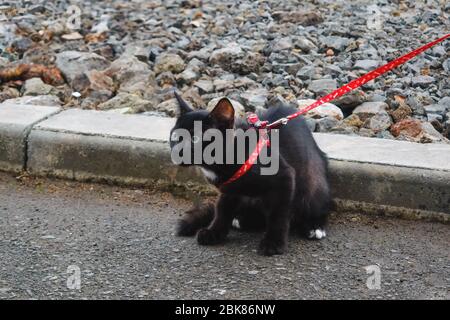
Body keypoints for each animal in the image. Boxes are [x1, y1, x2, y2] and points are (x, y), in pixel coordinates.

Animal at [169, 92, 330, 255]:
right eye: (175, 136)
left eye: (195, 139)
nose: (176, 152)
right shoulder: (229, 189)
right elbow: (222, 209)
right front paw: (214, 232)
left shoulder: (285, 178)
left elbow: (279, 213)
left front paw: (273, 242)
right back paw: (243, 219)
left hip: (313, 182)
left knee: (317, 204)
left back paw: (314, 225)